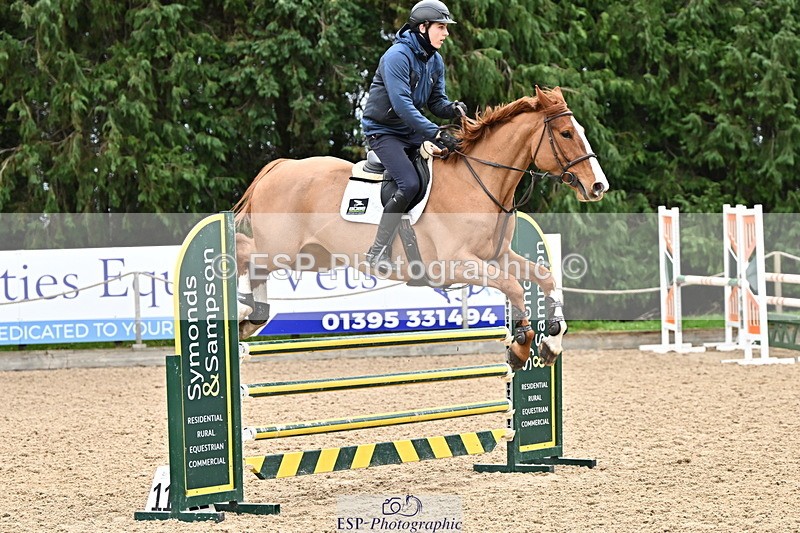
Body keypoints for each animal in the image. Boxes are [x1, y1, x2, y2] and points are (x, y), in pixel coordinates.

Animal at [233, 86, 608, 370]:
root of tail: (279, 167)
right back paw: (245, 310)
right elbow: (514, 288)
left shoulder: (498, 258)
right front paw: (519, 348)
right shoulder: (456, 264)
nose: (598, 186)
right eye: (566, 134)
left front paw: (552, 343)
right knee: (244, 253)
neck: (478, 183)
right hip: (281, 250)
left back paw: (253, 317)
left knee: (255, 266)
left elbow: (544, 277)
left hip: (312, 256)